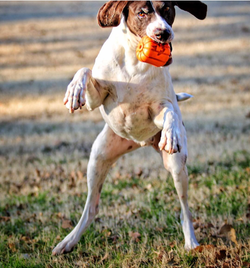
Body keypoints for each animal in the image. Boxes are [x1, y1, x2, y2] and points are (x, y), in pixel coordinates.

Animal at [51, 0, 206, 255]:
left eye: (167, 9)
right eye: (142, 12)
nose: (163, 33)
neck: (135, 59)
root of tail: (140, 142)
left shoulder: (157, 110)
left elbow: (169, 111)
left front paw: (171, 133)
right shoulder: (96, 100)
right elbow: (85, 71)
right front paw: (75, 89)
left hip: (177, 166)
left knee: (184, 208)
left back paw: (191, 241)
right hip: (98, 158)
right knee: (91, 207)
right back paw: (69, 240)